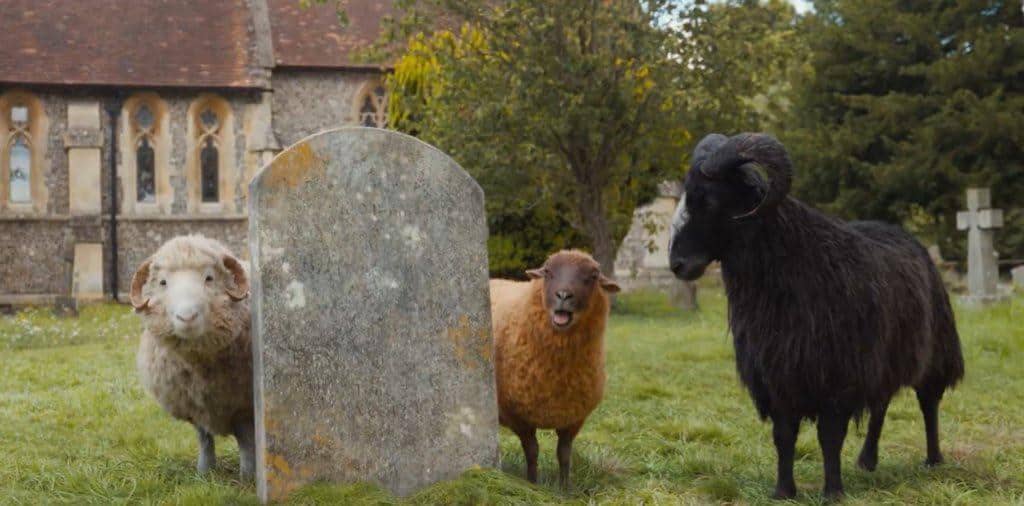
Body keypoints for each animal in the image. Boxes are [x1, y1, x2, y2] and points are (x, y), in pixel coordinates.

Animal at [130, 234, 255, 479]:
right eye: (163, 282)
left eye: (209, 278)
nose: (186, 317)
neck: (199, 365)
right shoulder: (192, 402)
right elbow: (204, 438)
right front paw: (204, 472)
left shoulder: (243, 405)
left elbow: (245, 440)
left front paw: (248, 475)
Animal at [490, 249, 620, 488]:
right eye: (548, 272)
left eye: (593, 276)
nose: (563, 295)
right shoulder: (518, 416)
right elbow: (532, 452)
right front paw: (533, 484)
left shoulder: (573, 417)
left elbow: (564, 454)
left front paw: (564, 488)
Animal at [668, 133, 965, 499]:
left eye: (708, 200)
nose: (676, 264)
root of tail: (906, 235)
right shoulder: (777, 376)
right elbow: (784, 437)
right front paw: (783, 491)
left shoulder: (837, 377)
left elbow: (830, 438)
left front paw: (833, 492)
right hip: (882, 359)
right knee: (880, 405)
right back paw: (867, 460)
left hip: (935, 351)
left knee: (928, 404)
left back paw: (933, 459)